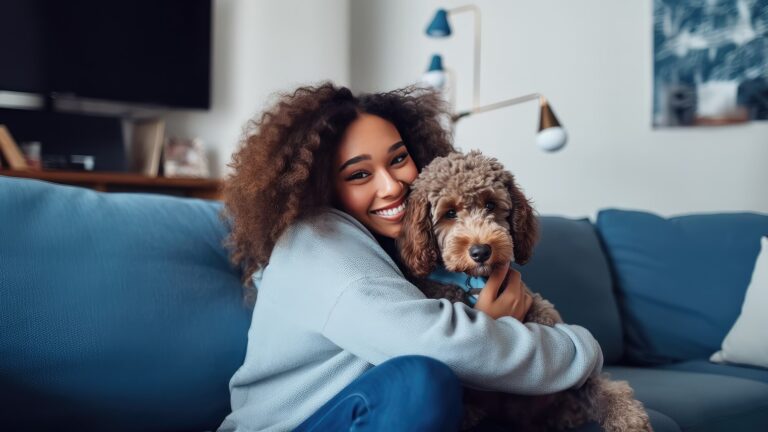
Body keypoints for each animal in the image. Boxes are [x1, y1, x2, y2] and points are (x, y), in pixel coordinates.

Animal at [396, 150, 656, 430]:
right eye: (450, 213)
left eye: (490, 205)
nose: (481, 251)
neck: (474, 282)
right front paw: (466, 414)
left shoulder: (542, 312)